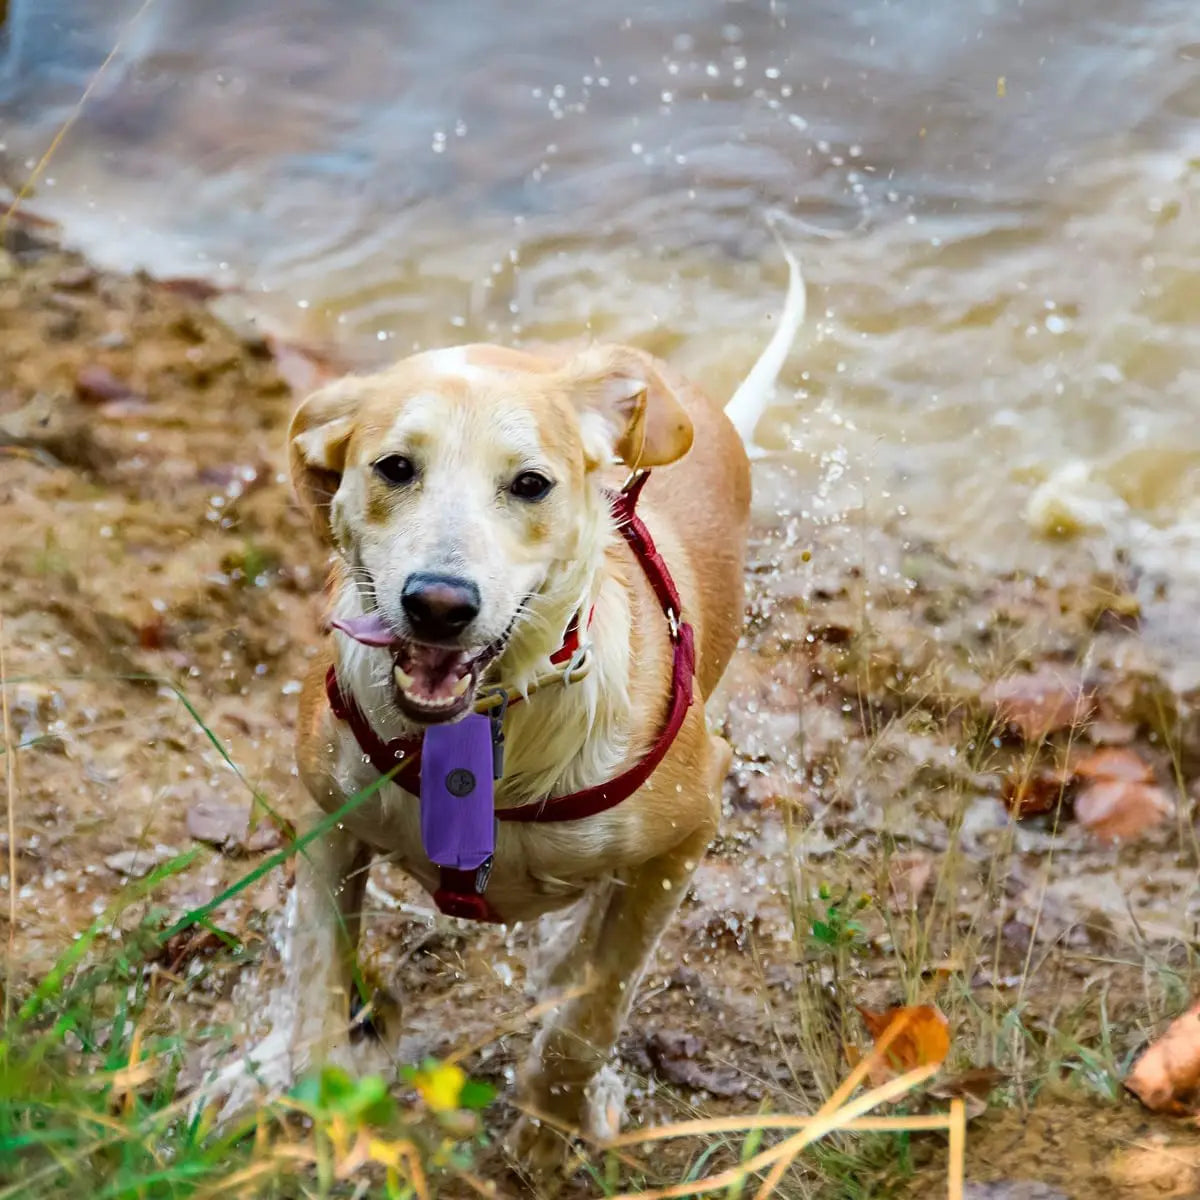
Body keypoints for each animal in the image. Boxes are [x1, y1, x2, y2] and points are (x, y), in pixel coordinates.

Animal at [207, 238, 806, 1166]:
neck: (489, 728)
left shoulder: (690, 826)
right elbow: (316, 984)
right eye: (394, 468)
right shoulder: (330, 823)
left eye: (530, 484)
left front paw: (546, 1133)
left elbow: (592, 1013)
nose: (438, 603)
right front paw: (307, 1091)